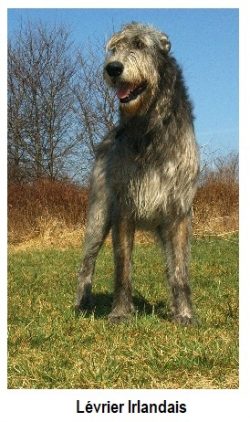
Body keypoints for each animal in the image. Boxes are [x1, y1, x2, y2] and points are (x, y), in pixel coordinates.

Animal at [75, 23, 200, 324]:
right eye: (114, 48)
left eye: (141, 45)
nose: (113, 68)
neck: (149, 127)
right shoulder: (123, 208)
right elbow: (123, 268)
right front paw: (120, 312)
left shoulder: (179, 211)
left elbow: (180, 270)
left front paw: (185, 314)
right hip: (98, 215)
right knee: (87, 261)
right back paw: (82, 303)